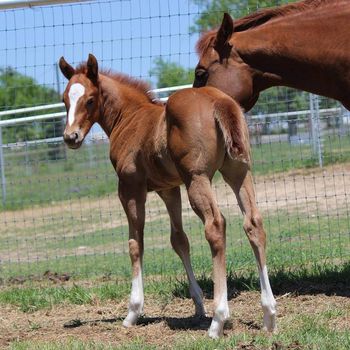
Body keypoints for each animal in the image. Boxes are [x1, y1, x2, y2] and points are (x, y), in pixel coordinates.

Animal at [58, 54, 274, 336]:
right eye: (65, 99)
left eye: (90, 99)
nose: (70, 136)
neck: (129, 117)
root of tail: (220, 101)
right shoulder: (168, 188)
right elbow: (179, 240)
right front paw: (198, 305)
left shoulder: (130, 188)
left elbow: (135, 244)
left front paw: (133, 311)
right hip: (238, 170)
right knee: (253, 223)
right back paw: (269, 314)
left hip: (197, 178)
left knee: (216, 226)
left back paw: (218, 320)